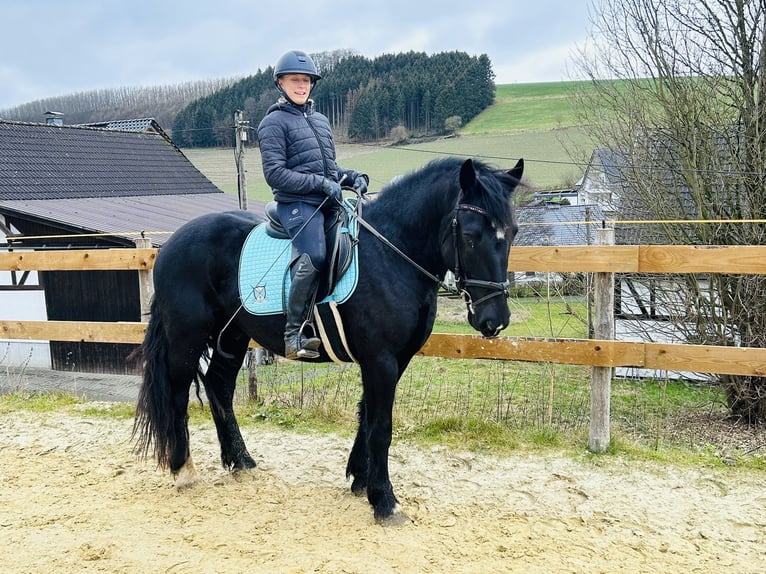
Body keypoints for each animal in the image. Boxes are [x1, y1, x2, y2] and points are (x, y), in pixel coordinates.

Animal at [135, 155, 524, 524]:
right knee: (178, 393)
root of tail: (170, 244)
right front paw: (385, 501)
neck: (391, 255)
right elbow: (381, 427)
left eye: (513, 232)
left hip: (233, 334)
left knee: (219, 385)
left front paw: (361, 479)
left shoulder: (394, 359)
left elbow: (367, 415)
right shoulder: (381, 359)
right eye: (471, 235)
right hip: (186, 336)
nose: (495, 320)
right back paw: (183, 470)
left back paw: (241, 461)